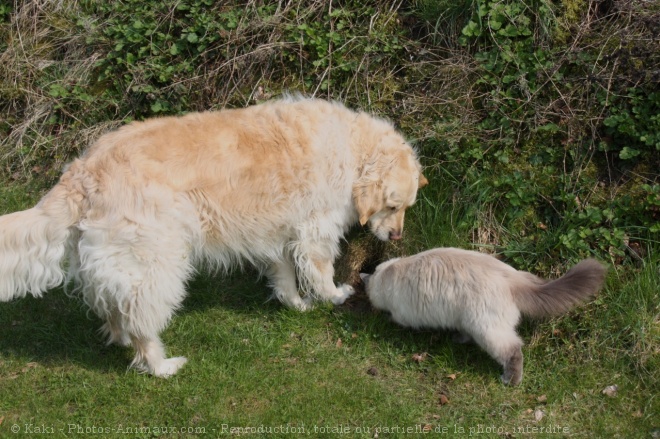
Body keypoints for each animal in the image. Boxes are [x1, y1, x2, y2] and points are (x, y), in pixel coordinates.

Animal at [0, 97, 428, 378]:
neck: (353, 150)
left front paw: (296, 304)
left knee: (112, 306)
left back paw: (120, 340)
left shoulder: (276, 234)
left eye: (406, 206)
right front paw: (335, 295)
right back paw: (160, 365)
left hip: (120, 264)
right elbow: (321, 272)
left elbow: (285, 278)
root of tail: (82, 169)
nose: (396, 236)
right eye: (392, 206)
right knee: (141, 323)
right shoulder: (315, 231)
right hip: (156, 264)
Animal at [360, 249, 608, 386]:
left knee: (513, 350)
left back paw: (510, 381)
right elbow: (462, 333)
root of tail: (515, 279)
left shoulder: (404, 313)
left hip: (486, 329)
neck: (387, 274)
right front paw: (458, 339)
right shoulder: (460, 320)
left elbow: (398, 319)